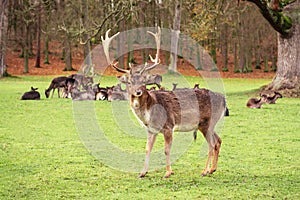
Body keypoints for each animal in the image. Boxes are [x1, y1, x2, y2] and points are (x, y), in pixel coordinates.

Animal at [102, 27, 226, 178]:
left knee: (211, 144)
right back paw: (213, 169)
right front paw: (142, 172)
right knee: (218, 141)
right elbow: (147, 149)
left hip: (206, 123)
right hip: (210, 124)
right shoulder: (150, 130)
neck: (149, 114)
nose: (138, 92)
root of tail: (224, 100)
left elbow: (166, 150)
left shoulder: (168, 126)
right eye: (130, 82)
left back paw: (205, 170)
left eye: (143, 81)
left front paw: (168, 172)